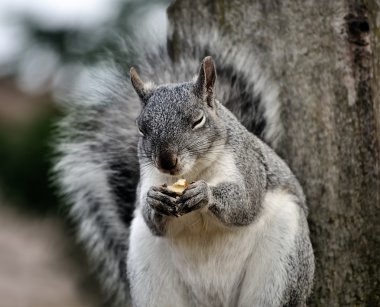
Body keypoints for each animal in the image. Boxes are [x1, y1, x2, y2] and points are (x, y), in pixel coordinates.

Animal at [53, 35, 314, 306]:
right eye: (141, 129)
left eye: (198, 120)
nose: (166, 161)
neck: (192, 172)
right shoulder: (148, 177)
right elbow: (152, 221)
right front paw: (155, 199)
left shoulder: (248, 165)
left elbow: (245, 204)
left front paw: (205, 194)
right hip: (150, 276)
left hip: (280, 265)